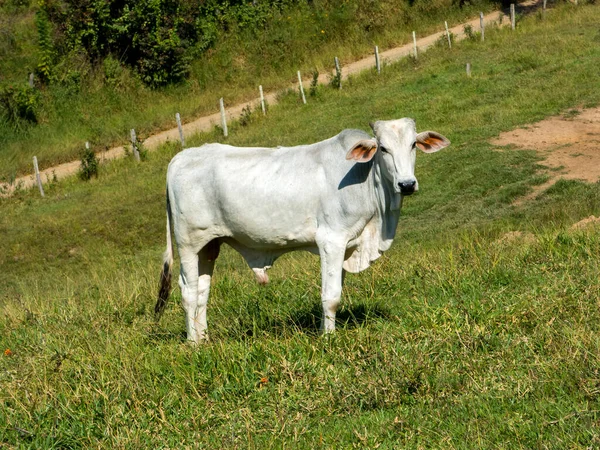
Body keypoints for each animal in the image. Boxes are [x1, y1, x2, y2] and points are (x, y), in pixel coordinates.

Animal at [157, 118, 448, 342]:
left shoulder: (345, 246)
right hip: (188, 244)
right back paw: (193, 343)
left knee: (202, 291)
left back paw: (204, 338)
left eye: (413, 145)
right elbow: (331, 296)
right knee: (188, 292)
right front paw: (328, 338)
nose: (407, 184)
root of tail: (180, 157)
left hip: (209, 245)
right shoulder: (331, 240)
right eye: (384, 149)